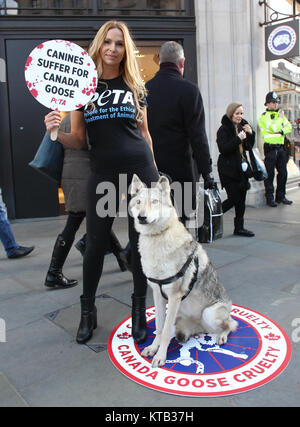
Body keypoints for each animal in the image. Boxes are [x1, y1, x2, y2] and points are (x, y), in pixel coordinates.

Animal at [130, 174, 238, 368]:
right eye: (139, 202)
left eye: (155, 202)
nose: (142, 217)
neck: (156, 238)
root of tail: (199, 326)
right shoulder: (157, 293)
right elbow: (159, 327)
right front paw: (153, 348)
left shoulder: (174, 296)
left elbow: (166, 332)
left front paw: (161, 356)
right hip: (181, 317)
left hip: (209, 313)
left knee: (231, 324)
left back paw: (222, 337)